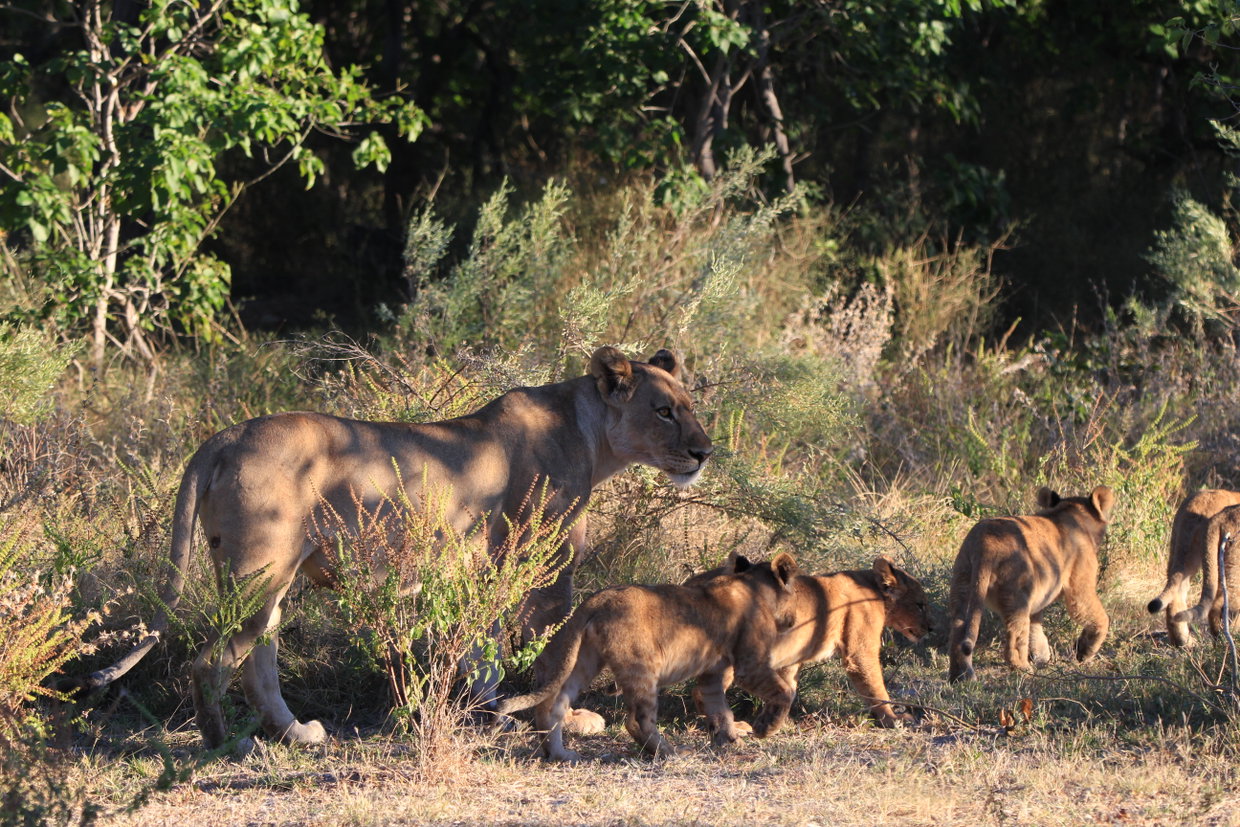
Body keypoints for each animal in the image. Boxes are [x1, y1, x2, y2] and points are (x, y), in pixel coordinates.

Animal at [84, 346, 712, 750]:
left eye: (691, 406)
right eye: (663, 411)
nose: (705, 452)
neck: (592, 434)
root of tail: (222, 436)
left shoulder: (482, 570)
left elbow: (481, 650)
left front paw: (491, 714)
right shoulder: (546, 572)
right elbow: (552, 654)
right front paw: (563, 719)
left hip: (264, 580)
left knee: (258, 665)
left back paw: (299, 735)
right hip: (258, 573)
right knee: (212, 662)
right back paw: (226, 746)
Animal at [496, 553, 802, 762]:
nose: (795, 620)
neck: (754, 587)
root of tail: (597, 600)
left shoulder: (712, 673)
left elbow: (719, 708)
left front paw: (729, 740)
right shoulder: (749, 663)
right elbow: (783, 692)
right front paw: (766, 728)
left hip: (584, 660)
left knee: (556, 704)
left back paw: (560, 753)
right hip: (642, 665)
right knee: (637, 720)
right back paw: (670, 752)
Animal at [687, 553, 931, 728]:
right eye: (920, 604)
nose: (930, 628)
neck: (875, 591)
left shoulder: (791, 656)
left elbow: (788, 685)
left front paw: (777, 721)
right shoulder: (859, 651)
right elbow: (876, 688)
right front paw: (893, 719)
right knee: (702, 692)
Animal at [947, 486, 1115, 682]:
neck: (1070, 512)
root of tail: (985, 543)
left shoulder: (1040, 596)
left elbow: (1036, 626)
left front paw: (1042, 655)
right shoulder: (1080, 588)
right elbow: (1100, 617)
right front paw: (1084, 652)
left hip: (963, 586)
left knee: (957, 632)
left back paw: (960, 677)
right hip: (1018, 594)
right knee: (1015, 637)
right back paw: (1023, 670)